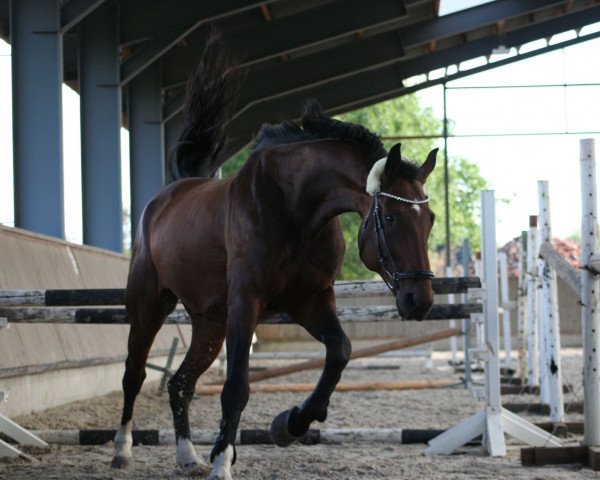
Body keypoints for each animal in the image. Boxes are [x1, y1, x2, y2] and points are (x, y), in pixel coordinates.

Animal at [110, 34, 436, 480]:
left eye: (431, 220)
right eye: (388, 216)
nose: (420, 301)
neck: (295, 206)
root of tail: (167, 196)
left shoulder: (310, 301)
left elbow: (340, 353)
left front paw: (290, 424)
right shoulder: (247, 302)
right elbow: (236, 388)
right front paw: (223, 463)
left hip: (209, 322)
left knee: (180, 383)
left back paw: (188, 455)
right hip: (149, 305)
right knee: (134, 373)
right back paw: (123, 450)